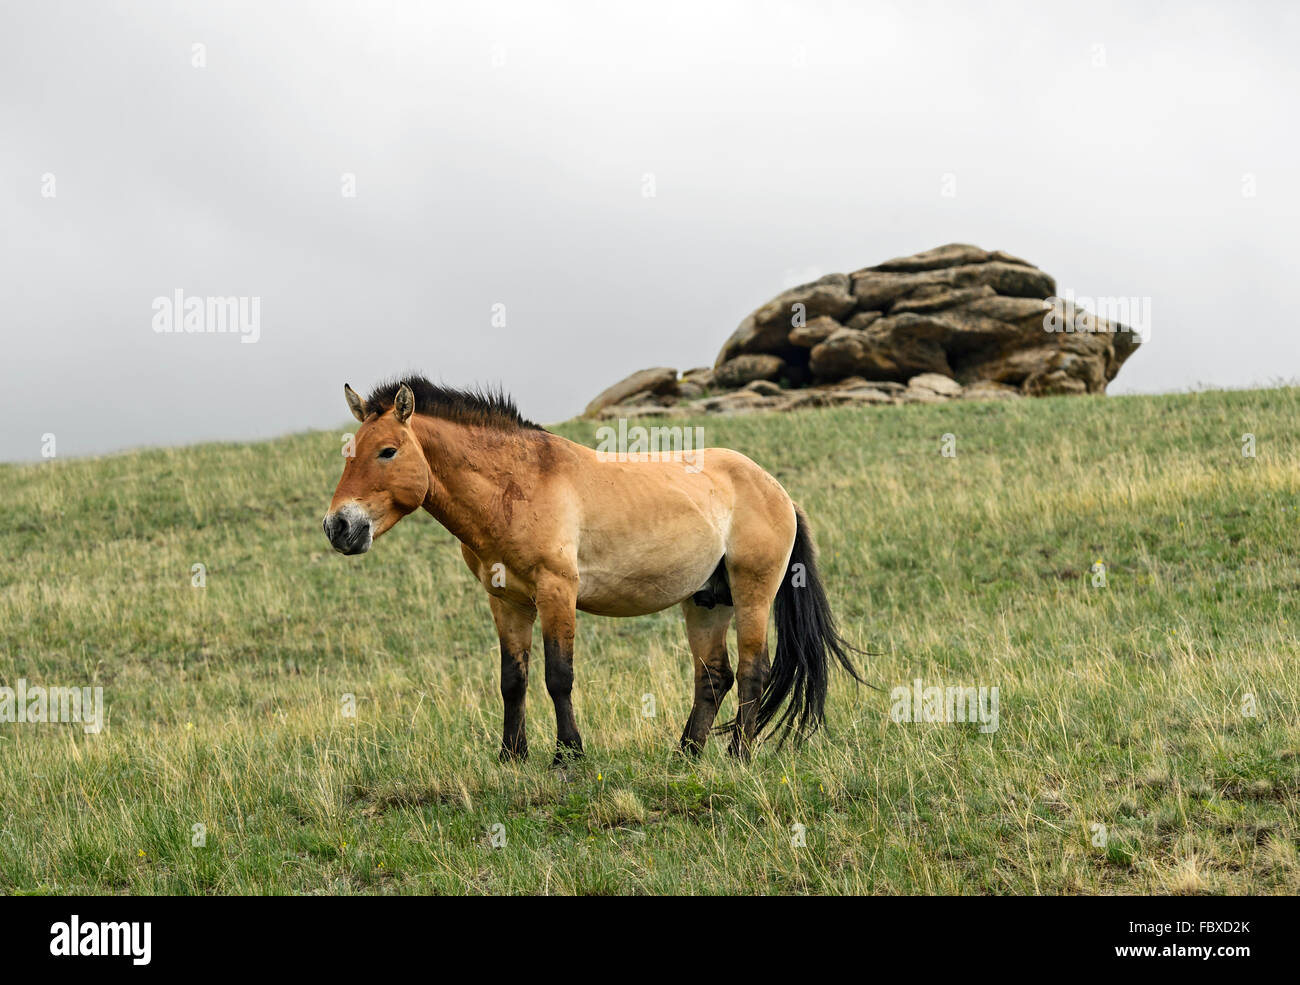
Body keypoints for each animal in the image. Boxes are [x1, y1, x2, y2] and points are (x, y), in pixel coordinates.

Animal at [319, 374, 857, 769]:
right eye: (348, 453)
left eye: (388, 451)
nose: (339, 526)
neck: (520, 484)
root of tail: (777, 490)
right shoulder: (507, 601)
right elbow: (512, 679)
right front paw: (511, 756)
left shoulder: (557, 590)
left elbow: (559, 675)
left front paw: (567, 754)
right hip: (706, 600)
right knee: (713, 677)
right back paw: (686, 754)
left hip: (751, 593)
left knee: (751, 670)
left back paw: (738, 754)